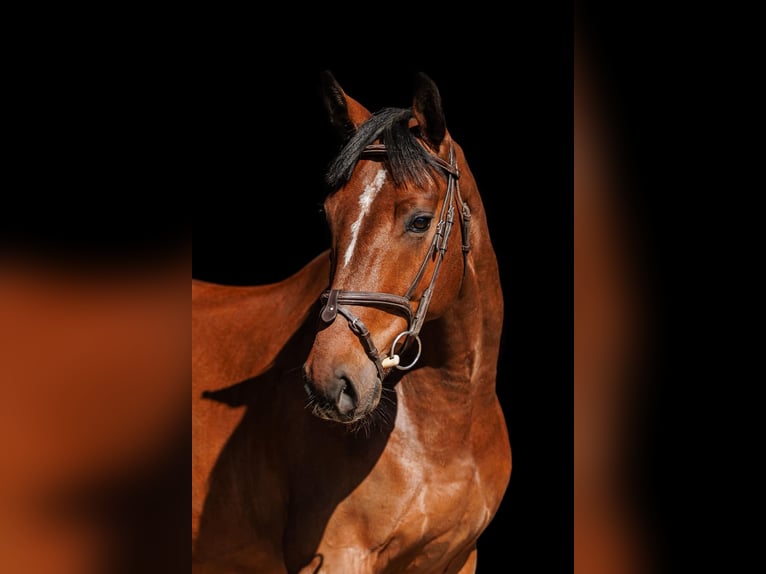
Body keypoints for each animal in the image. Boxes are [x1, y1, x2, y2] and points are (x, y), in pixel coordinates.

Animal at [191, 71, 511, 573]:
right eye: (328, 216)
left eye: (420, 221)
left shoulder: (459, 558)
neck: (449, 424)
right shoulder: (339, 555)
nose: (329, 382)